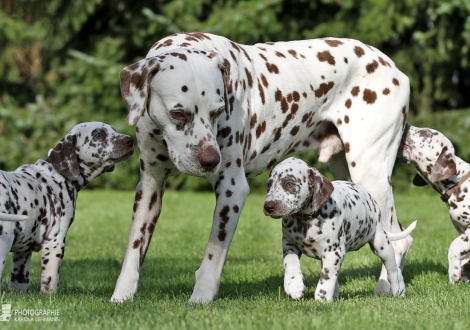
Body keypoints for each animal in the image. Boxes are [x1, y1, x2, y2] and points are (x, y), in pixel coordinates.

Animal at [0, 122, 134, 296]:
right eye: (98, 134)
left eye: (115, 130)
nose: (130, 140)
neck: (57, 175)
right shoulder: (55, 241)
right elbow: (50, 280)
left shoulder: (23, 250)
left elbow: (19, 281)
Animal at [262, 157, 416, 302]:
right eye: (268, 184)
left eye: (289, 184)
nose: (268, 206)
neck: (306, 220)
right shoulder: (289, 243)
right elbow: (290, 263)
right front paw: (294, 286)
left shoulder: (333, 251)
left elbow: (326, 278)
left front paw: (322, 299)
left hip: (381, 244)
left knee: (393, 270)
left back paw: (398, 290)